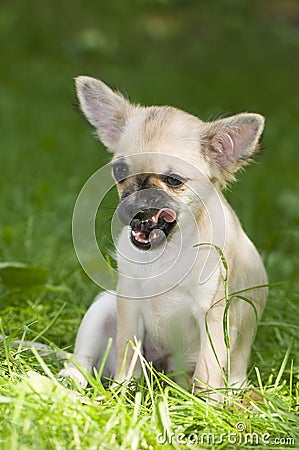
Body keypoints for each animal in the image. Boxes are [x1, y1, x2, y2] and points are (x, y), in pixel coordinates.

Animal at [60, 77, 268, 398]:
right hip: (104, 307)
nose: (138, 203)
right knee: (83, 359)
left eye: (174, 181)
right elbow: (127, 353)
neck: (167, 251)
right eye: (119, 170)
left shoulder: (213, 315)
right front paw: (123, 391)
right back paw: (74, 378)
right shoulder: (129, 304)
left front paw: (206, 405)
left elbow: (208, 370)